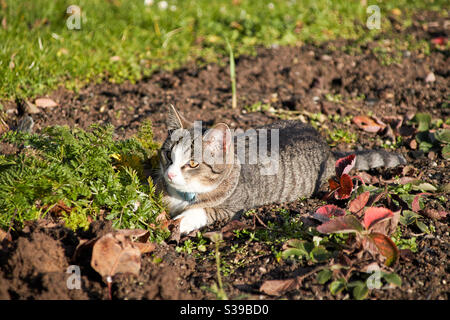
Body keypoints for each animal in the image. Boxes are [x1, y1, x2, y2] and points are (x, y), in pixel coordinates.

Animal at [154, 106, 404, 234]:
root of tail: (325, 145)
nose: (170, 174)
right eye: (168, 155)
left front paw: (176, 224)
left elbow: (198, 212)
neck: (186, 195)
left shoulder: (230, 208)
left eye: (192, 164)